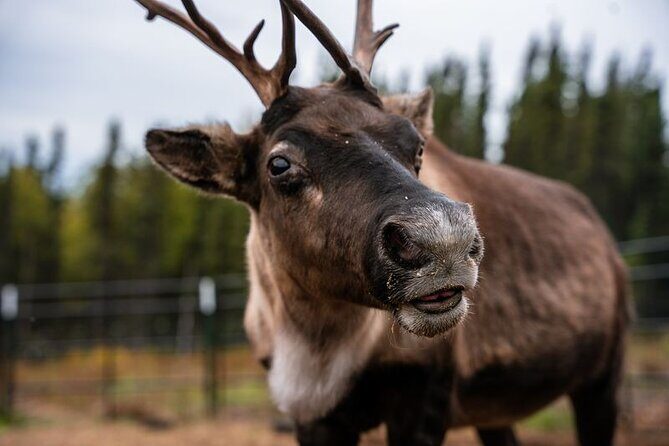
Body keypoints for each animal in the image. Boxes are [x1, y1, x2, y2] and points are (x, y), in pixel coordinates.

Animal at [132, 1, 630, 445]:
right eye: (279, 164)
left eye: (417, 146)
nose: (444, 240)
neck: (313, 351)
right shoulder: (309, 417)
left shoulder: (424, 397)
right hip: (495, 409)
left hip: (602, 377)